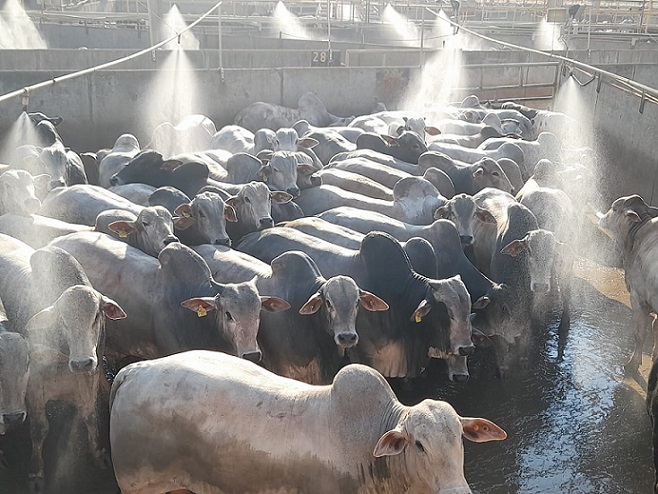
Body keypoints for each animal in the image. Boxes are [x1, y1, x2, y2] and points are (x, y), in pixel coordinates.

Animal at [0, 236, 126, 490]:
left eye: (96, 316)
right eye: (62, 319)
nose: (82, 362)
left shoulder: (89, 381)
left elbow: (89, 416)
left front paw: (98, 455)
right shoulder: (34, 391)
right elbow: (40, 430)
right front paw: (36, 474)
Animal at [600, 195, 658, 372]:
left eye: (614, 208)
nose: (602, 219)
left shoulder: (638, 298)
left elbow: (640, 334)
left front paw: (633, 363)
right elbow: (655, 327)